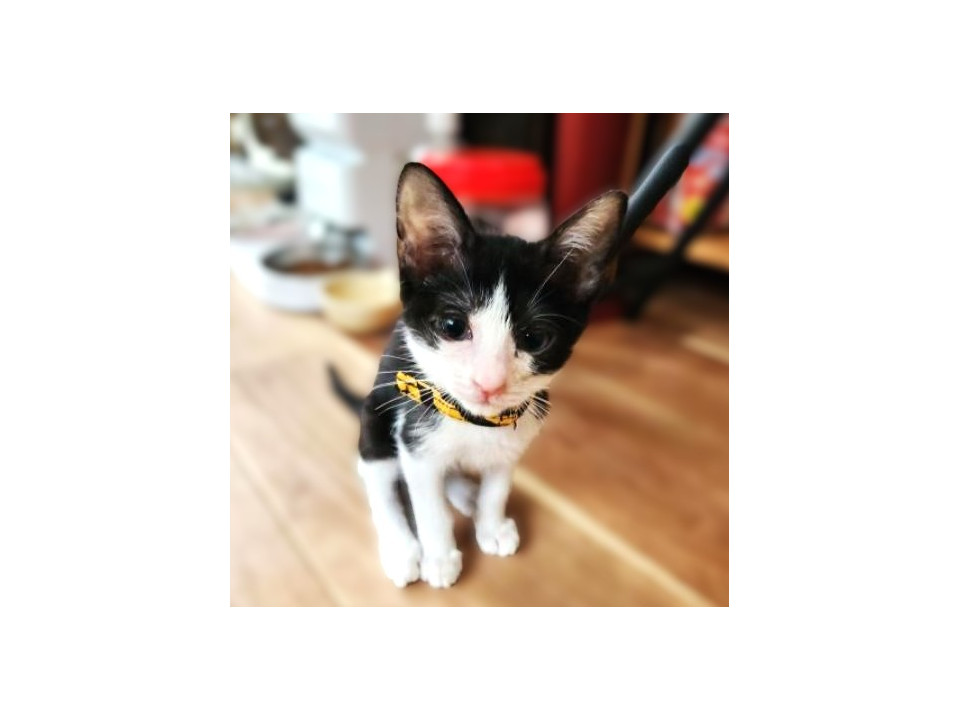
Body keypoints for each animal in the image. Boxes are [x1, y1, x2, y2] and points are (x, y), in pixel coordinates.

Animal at [330, 162, 626, 588]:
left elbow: (497, 486)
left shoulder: (515, 439)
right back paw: (401, 548)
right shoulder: (414, 438)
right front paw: (439, 557)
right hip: (376, 415)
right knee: (377, 476)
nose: (489, 383)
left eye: (535, 338)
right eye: (453, 326)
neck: (475, 422)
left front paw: (491, 524)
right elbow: (428, 503)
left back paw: (467, 494)